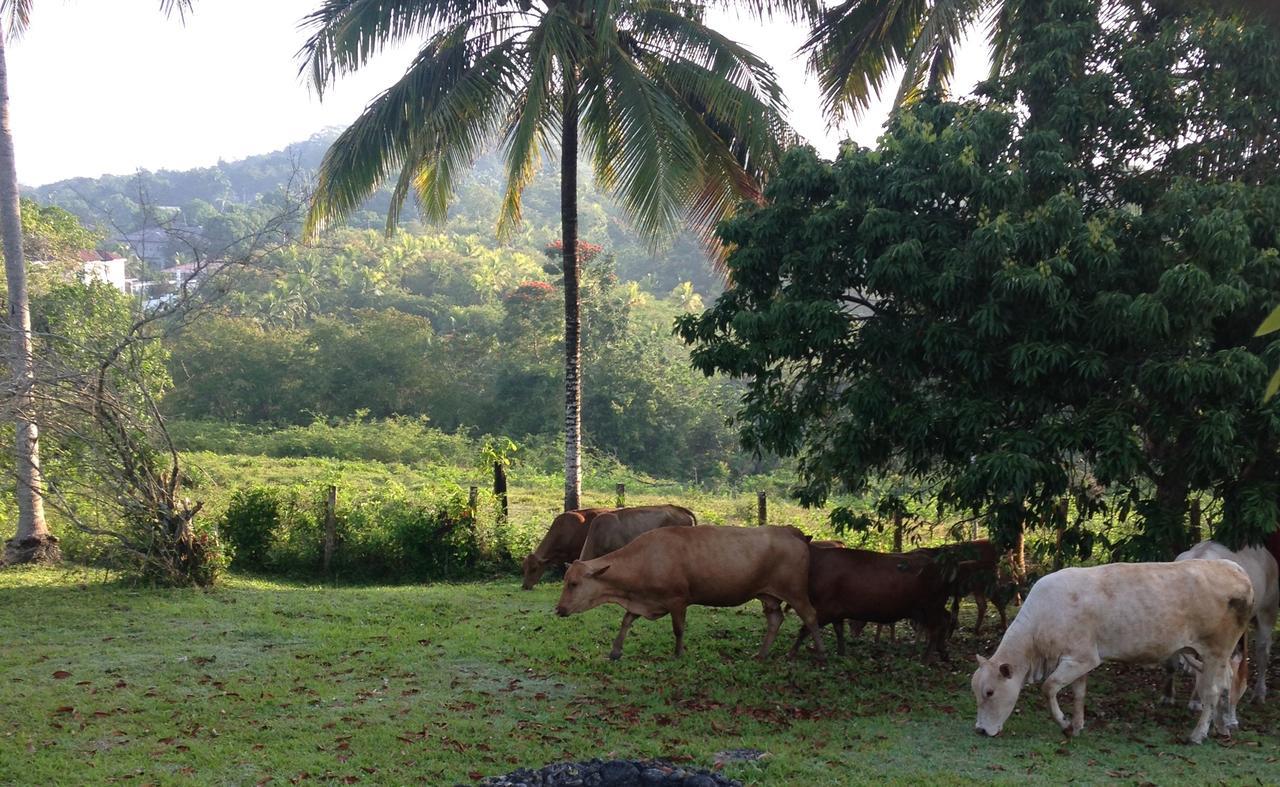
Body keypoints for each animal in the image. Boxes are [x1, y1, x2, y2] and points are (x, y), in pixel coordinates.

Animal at [555, 527, 824, 660]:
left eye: (574, 584)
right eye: (566, 581)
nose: (559, 609)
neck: (646, 558)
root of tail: (793, 533)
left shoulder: (678, 600)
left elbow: (678, 629)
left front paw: (679, 653)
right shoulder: (641, 600)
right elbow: (626, 621)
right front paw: (615, 651)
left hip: (795, 591)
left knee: (811, 616)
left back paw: (819, 653)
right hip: (768, 596)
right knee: (775, 619)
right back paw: (761, 654)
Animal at [783, 547, 957, 665]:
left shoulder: (825, 608)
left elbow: (805, 628)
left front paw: (791, 653)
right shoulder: (836, 611)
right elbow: (839, 631)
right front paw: (841, 653)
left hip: (931, 606)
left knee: (937, 627)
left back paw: (926, 659)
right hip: (929, 609)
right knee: (946, 619)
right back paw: (943, 652)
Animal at [967, 560, 1249, 747]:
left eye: (989, 692)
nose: (979, 730)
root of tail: (1236, 569)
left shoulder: (1080, 658)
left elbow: (1048, 687)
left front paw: (1064, 723)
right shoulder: (1080, 659)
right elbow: (1078, 693)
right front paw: (1076, 726)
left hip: (1215, 650)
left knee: (1212, 691)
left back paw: (1198, 735)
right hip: (1214, 656)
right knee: (1225, 685)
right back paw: (1223, 728)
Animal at [1162, 542, 1280, 721]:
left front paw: (1196, 702)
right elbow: (1171, 664)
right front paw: (1167, 697)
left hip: (1268, 610)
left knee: (1262, 652)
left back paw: (1259, 694)